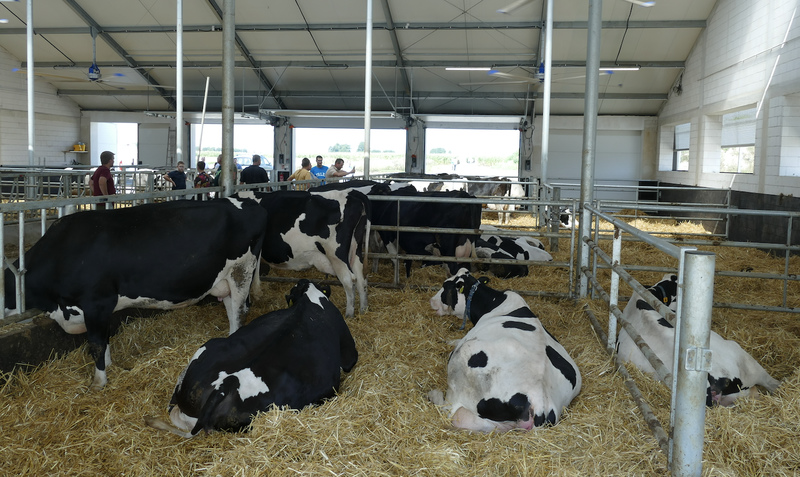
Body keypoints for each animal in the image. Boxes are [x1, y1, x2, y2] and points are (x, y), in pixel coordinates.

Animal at [1, 196, 270, 386]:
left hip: (241, 271)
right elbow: (105, 338)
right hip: (226, 279)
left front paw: (99, 381)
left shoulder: (97, 301)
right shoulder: (100, 309)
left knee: (239, 312)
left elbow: (96, 343)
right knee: (231, 308)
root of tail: (247, 202)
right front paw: (109, 366)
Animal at [236, 189, 370, 316]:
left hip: (336, 255)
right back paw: (363, 310)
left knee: (349, 280)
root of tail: (352, 196)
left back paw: (349, 314)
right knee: (361, 279)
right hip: (355, 251)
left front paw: (246, 308)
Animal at [424, 268, 580, 432]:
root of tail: (540, 402)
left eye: (445, 285)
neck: (495, 303)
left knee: (453, 412)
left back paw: (433, 395)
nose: (431, 300)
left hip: (462, 367)